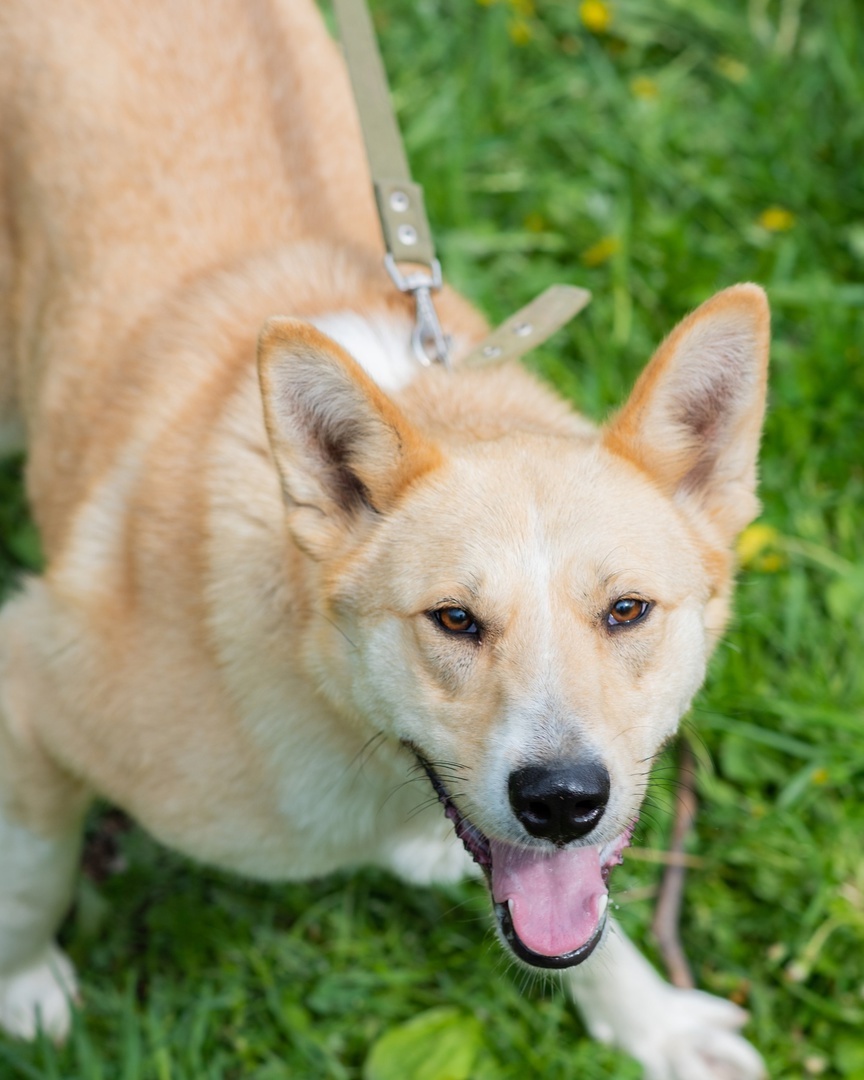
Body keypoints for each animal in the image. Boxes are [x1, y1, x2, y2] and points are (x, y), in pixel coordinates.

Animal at [0, 2, 768, 1080]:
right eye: (454, 619)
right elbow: (30, 881)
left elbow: (589, 917)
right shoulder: (34, 678)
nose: (562, 800)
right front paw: (26, 993)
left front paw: (648, 1020)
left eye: (627, 610)